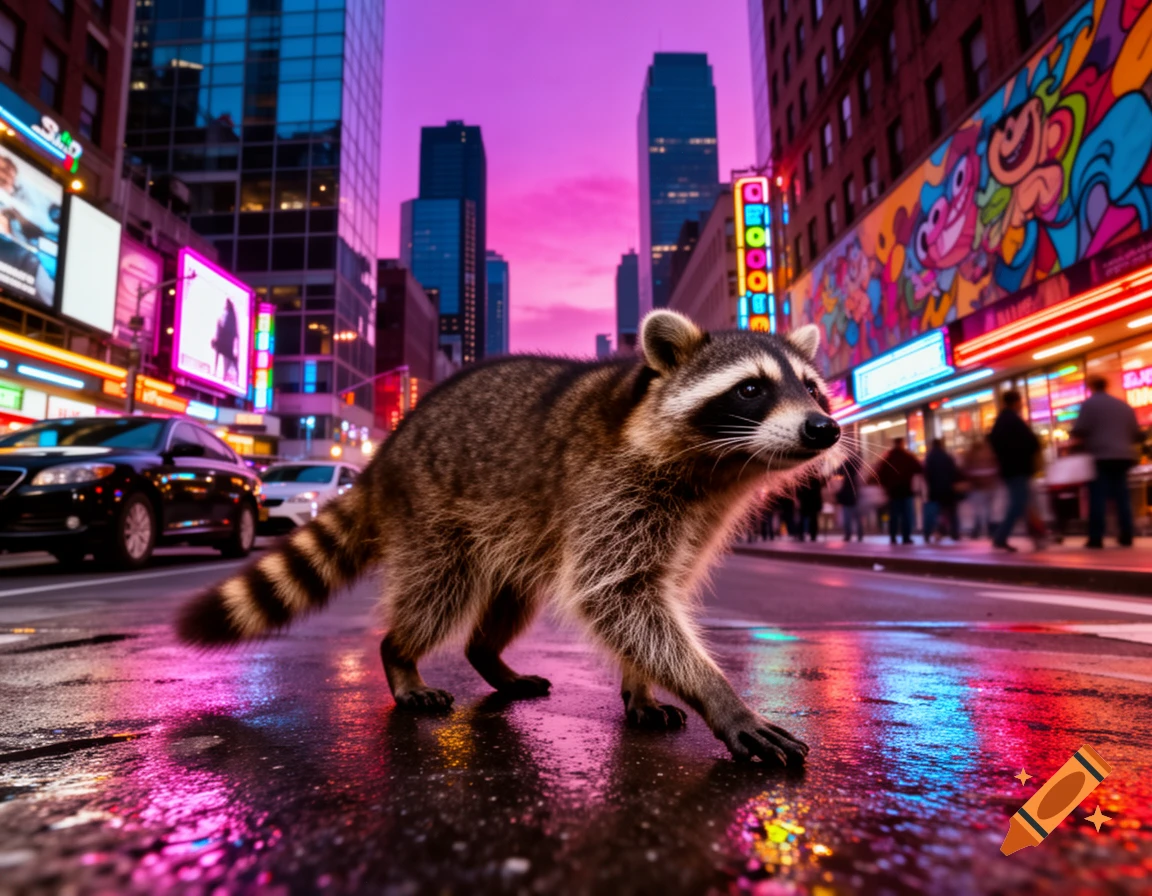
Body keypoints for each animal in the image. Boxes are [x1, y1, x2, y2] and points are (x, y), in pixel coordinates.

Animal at [178, 310, 845, 765]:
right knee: (435, 594)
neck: (719, 469)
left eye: (813, 388)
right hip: (434, 517)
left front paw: (639, 681)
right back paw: (401, 657)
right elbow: (617, 595)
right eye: (752, 388)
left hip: (520, 535)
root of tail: (384, 455)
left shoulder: (691, 522)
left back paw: (487, 656)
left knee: (509, 598)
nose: (825, 427)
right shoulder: (610, 489)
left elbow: (650, 599)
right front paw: (720, 696)